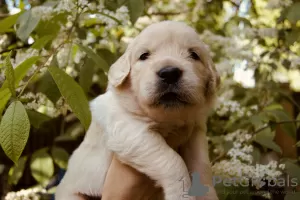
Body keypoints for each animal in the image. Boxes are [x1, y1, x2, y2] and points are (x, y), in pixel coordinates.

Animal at [55, 20, 219, 200]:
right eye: (144, 55)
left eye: (194, 55)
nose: (169, 73)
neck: (167, 118)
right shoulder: (129, 130)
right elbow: (172, 161)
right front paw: (180, 195)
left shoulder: (196, 132)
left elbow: (202, 166)